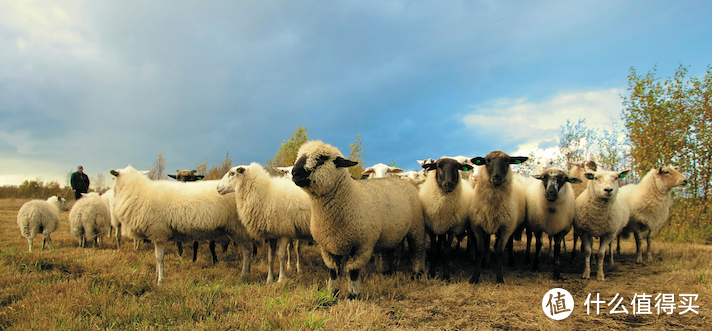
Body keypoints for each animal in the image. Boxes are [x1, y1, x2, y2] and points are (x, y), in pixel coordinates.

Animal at [110, 166, 254, 286]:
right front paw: (157, 276)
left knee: (247, 250)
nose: (112, 193)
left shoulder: (159, 233)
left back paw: (243, 275)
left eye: (113, 177)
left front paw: (160, 281)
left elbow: (159, 258)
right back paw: (247, 271)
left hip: (237, 228)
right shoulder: (157, 235)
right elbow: (157, 258)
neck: (138, 192)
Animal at [292, 141, 426, 300]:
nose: (294, 173)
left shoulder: (363, 245)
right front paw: (332, 295)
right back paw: (387, 272)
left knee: (417, 250)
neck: (351, 197)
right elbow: (333, 272)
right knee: (388, 252)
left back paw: (416, 273)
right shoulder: (327, 246)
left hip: (416, 227)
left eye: (322, 158)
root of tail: (404, 181)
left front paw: (353, 296)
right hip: (390, 232)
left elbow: (353, 271)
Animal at [468, 152, 528, 284]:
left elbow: (500, 251)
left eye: (507, 161)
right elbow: (480, 250)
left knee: (509, 243)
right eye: (488, 161)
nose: (497, 178)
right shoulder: (478, 226)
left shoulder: (506, 227)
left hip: (511, 225)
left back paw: (510, 261)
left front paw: (499, 278)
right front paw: (475, 276)